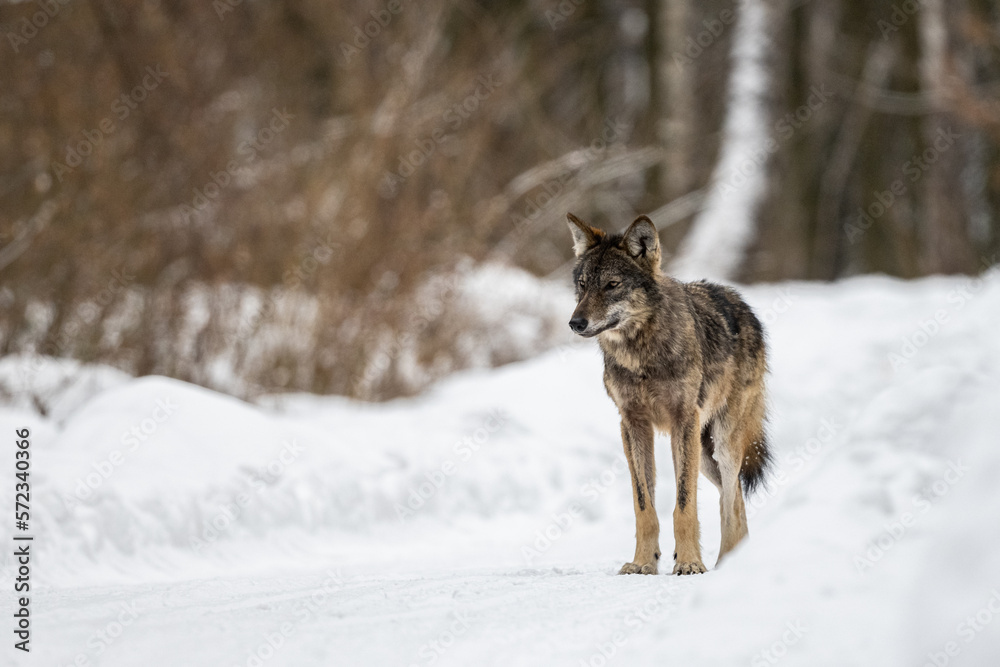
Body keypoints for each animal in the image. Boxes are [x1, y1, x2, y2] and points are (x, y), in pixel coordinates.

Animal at [566, 212, 771, 575]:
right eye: (583, 285)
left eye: (612, 285)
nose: (575, 322)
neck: (641, 353)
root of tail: (740, 301)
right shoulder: (632, 424)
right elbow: (643, 505)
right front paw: (642, 563)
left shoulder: (683, 420)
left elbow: (684, 504)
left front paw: (688, 562)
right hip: (704, 454)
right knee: (733, 496)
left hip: (721, 444)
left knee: (731, 499)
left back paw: (724, 564)